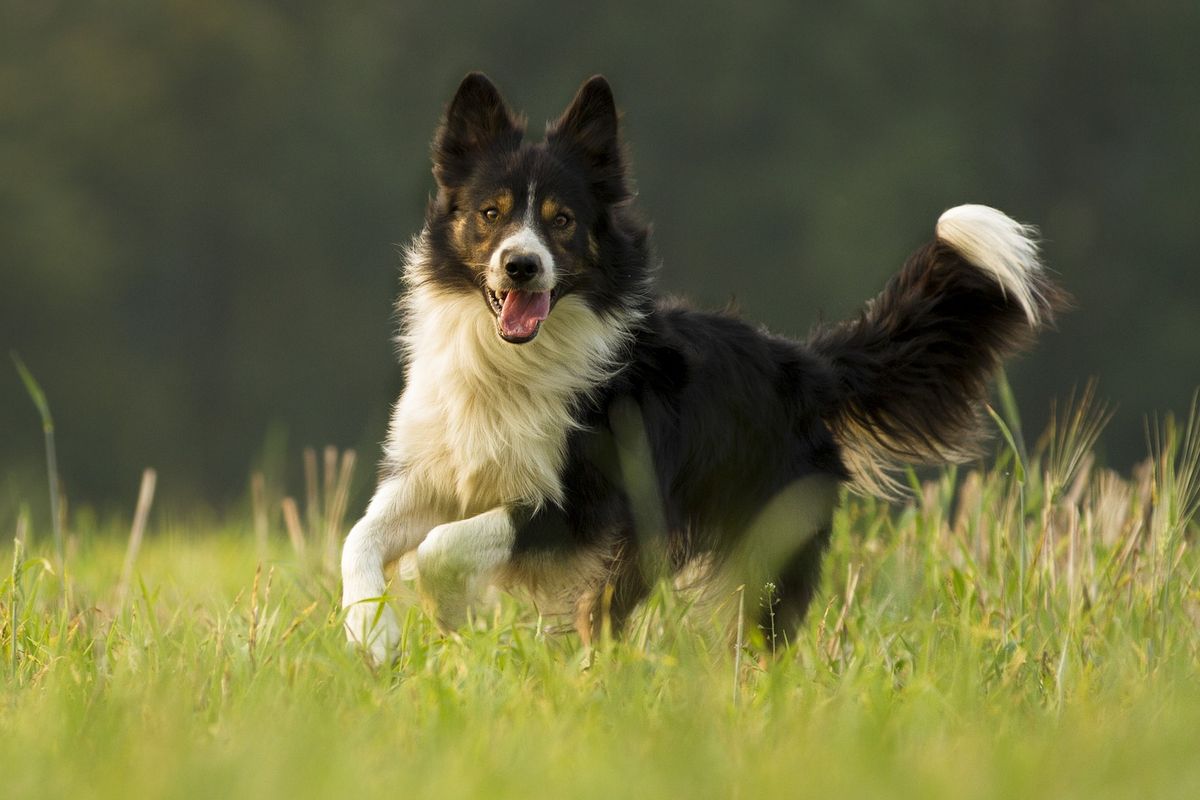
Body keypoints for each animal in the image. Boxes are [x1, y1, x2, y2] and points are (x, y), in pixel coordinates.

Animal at [338, 73, 1060, 662]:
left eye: (562, 221)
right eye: (491, 213)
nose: (522, 266)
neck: (511, 362)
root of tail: (803, 363)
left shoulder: (582, 504)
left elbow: (442, 546)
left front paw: (447, 612)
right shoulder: (437, 472)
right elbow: (359, 537)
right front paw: (372, 636)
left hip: (748, 541)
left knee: (750, 636)